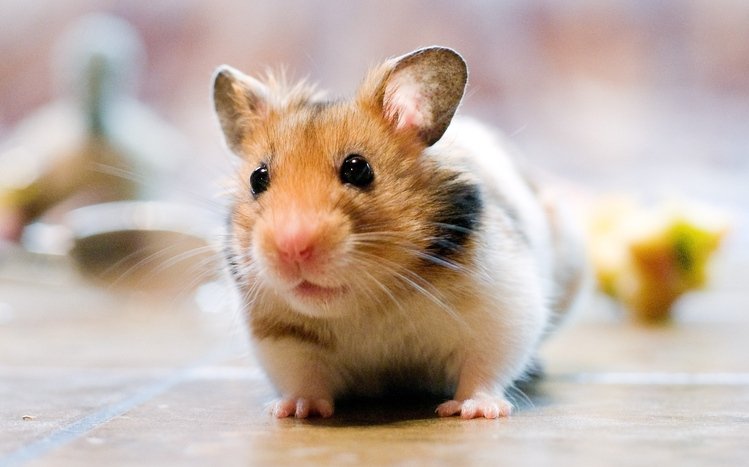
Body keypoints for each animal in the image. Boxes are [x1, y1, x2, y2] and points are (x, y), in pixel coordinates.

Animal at [212, 46, 586, 419]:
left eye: (358, 169)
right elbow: (303, 376)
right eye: (257, 178)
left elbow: (484, 367)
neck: (370, 303)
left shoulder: (503, 310)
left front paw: (475, 411)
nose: (292, 249)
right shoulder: (280, 338)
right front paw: (294, 411)